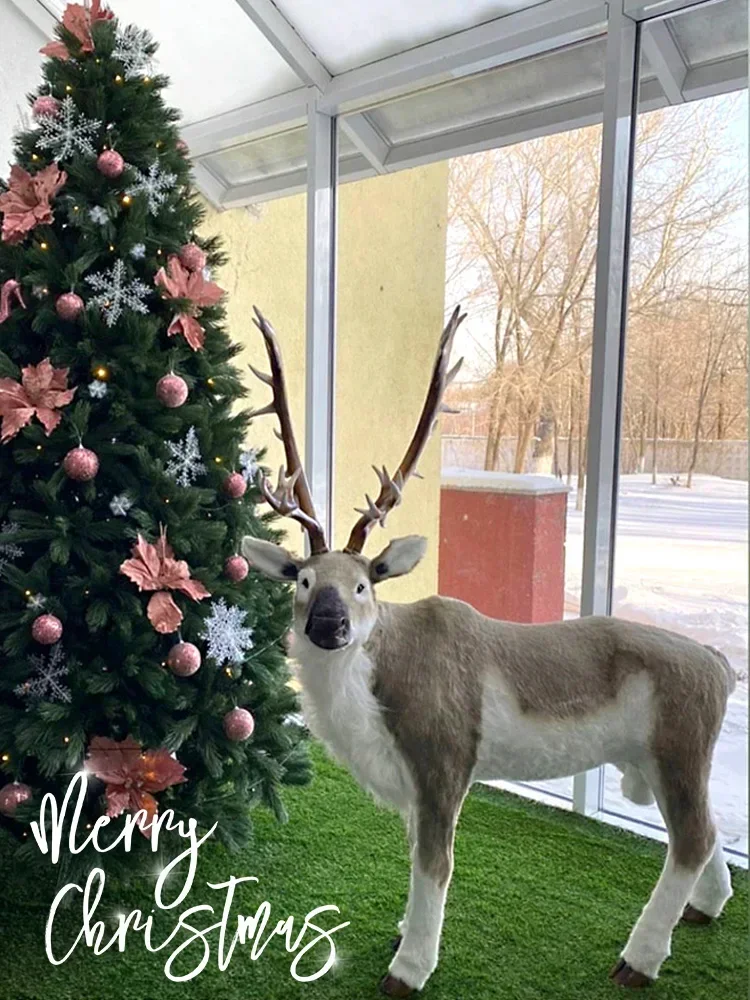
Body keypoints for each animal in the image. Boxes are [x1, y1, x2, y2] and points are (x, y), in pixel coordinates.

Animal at [241, 305, 736, 997]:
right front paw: (404, 931)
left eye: (365, 583)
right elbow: (414, 855)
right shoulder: (412, 784)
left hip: (678, 747)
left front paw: (410, 966)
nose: (330, 625)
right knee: (709, 830)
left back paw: (637, 960)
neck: (369, 704)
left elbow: (435, 864)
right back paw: (703, 910)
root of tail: (721, 665)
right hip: (656, 760)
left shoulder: (445, 760)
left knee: (691, 837)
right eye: (303, 580)